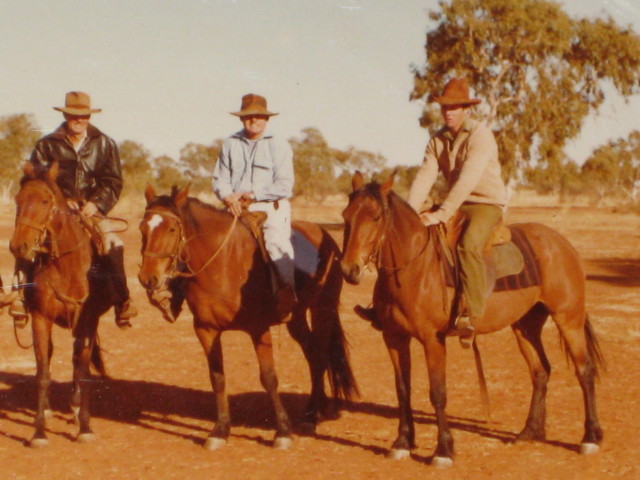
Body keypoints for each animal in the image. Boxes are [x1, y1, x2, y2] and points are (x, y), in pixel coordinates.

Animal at [9, 161, 109, 446]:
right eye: (19, 200)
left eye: (45, 201)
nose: (18, 246)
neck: (67, 266)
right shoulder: (41, 319)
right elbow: (43, 373)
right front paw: (39, 431)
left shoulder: (87, 322)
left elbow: (83, 372)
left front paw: (84, 427)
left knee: (77, 361)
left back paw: (75, 409)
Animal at [138, 184, 358, 450]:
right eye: (142, 228)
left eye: (171, 229)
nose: (148, 278)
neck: (224, 263)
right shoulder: (206, 330)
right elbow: (217, 378)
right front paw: (220, 430)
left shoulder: (258, 329)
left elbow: (269, 378)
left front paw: (282, 432)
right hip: (296, 319)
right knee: (314, 357)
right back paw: (311, 414)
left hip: (323, 310)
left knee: (321, 356)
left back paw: (313, 415)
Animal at [340, 172, 604, 464]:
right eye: (345, 216)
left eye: (375, 217)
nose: (349, 269)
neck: (415, 269)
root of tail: (561, 243)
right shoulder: (394, 338)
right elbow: (402, 390)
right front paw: (402, 443)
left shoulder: (432, 340)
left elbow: (438, 393)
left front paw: (443, 450)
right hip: (526, 326)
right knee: (540, 371)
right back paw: (529, 432)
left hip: (568, 319)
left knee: (585, 370)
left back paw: (590, 437)